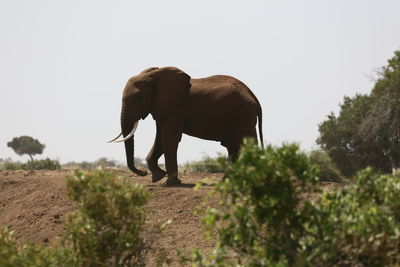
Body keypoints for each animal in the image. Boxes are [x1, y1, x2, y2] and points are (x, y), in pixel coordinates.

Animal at [108, 66, 262, 186]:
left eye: (138, 97)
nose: (143, 172)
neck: (152, 76)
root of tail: (253, 95)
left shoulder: (176, 108)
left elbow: (169, 139)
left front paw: (170, 183)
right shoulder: (163, 108)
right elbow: (160, 139)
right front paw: (158, 177)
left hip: (243, 116)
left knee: (245, 146)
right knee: (233, 148)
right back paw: (226, 182)